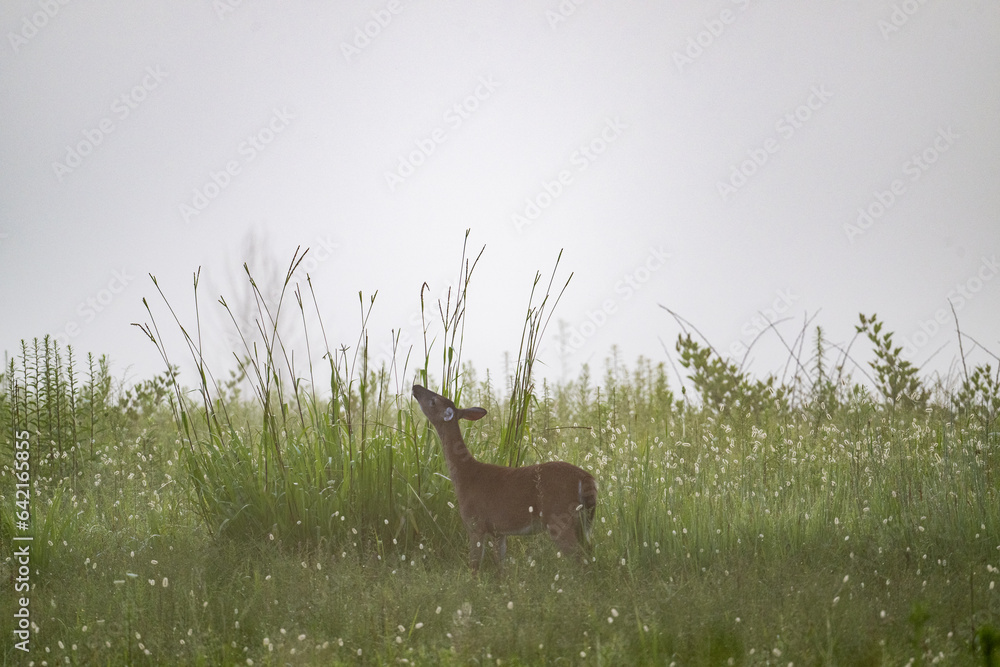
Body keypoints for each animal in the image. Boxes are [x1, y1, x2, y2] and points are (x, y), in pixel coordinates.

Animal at [412, 384, 596, 572]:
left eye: (434, 401)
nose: (416, 387)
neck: (466, 475)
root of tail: (586, 478)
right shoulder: (498, 531)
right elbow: (501, 567)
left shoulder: (475, 524)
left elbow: (474, 567)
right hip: (582, 521)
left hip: (559, 518)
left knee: (580, 558)